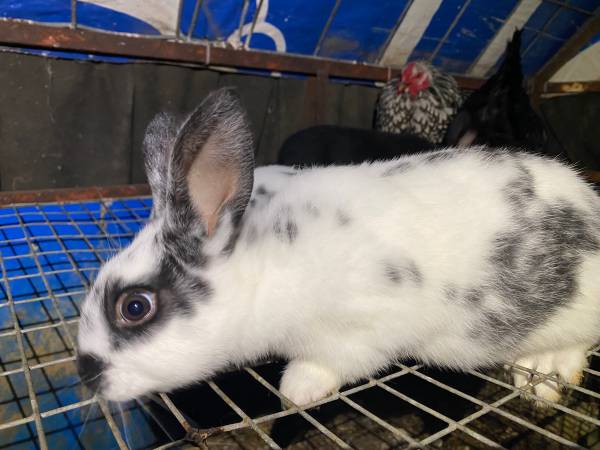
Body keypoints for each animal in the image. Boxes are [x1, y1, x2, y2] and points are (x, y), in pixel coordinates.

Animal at [77, 87, 600, 407]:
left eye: (135, 306)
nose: (85, 373)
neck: (264, 266)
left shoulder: (364, 330)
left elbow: (333, 363)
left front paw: (297, 389)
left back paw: (543, 376)